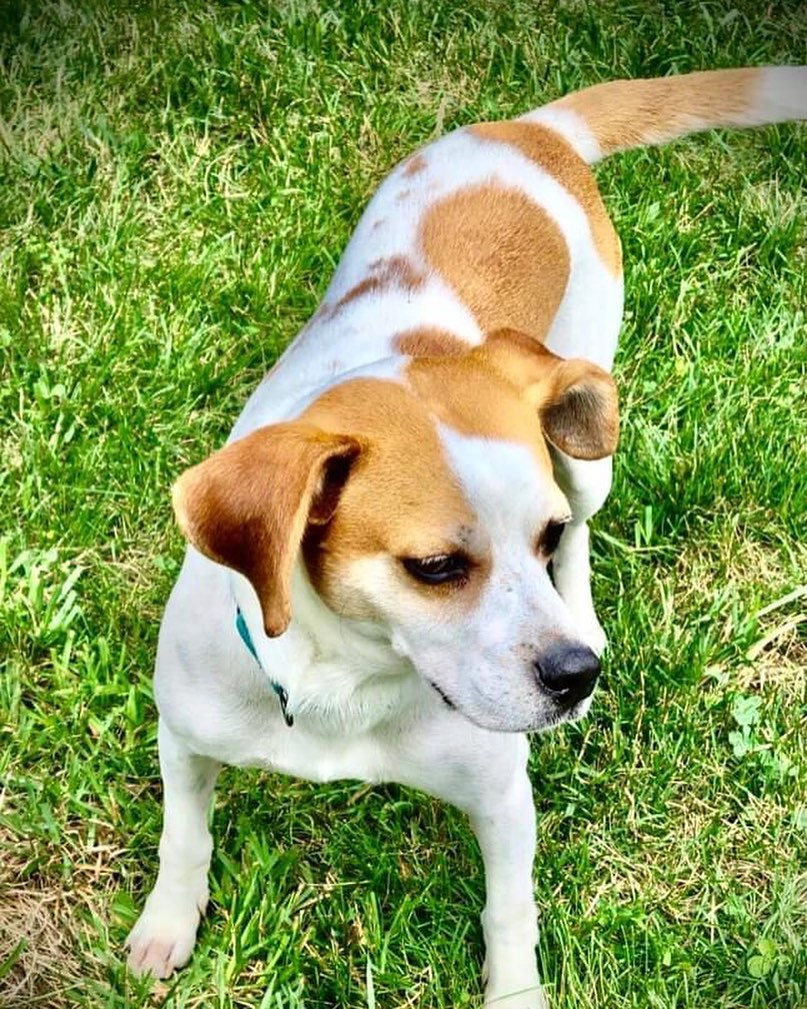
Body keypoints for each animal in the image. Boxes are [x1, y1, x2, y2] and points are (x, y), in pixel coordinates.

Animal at [126, 67, 807, 1004]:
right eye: (436, 566)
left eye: (535, 536)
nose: (575, 677)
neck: (346, 684)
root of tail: (533, 132)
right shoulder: (185, 735)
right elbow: (183, 836)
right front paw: (166, 924)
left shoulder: (500, 797)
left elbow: (508, 913)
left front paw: (514, 992)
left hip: (584, 440)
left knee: (588, 523)